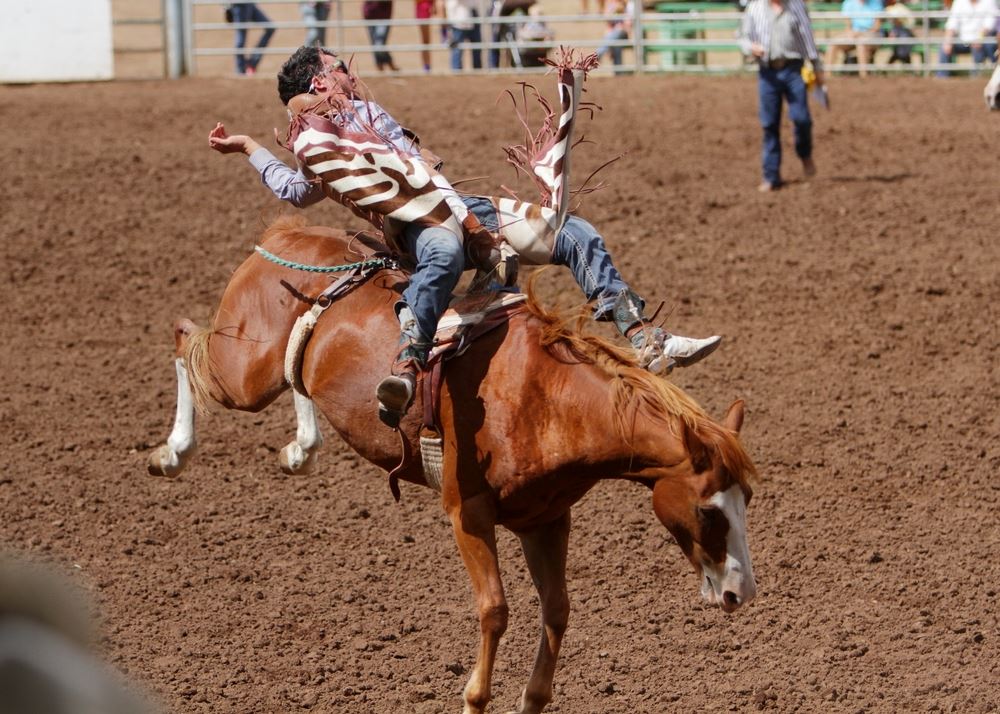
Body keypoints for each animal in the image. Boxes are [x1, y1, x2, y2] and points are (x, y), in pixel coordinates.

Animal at [148, 216, 759, 714]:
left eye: (747, 502)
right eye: (708, 512)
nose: (742, 594)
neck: (542, 395)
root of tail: (282, 235)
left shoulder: (545, 520)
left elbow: (557, 609)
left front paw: (531, 699)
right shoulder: (467, 513)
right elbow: (495, 610)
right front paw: (474, 698)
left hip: (271, 370)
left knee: (291, 375)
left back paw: (301, 445)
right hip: (242, 372)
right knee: (183, 339)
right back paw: (171, 453)